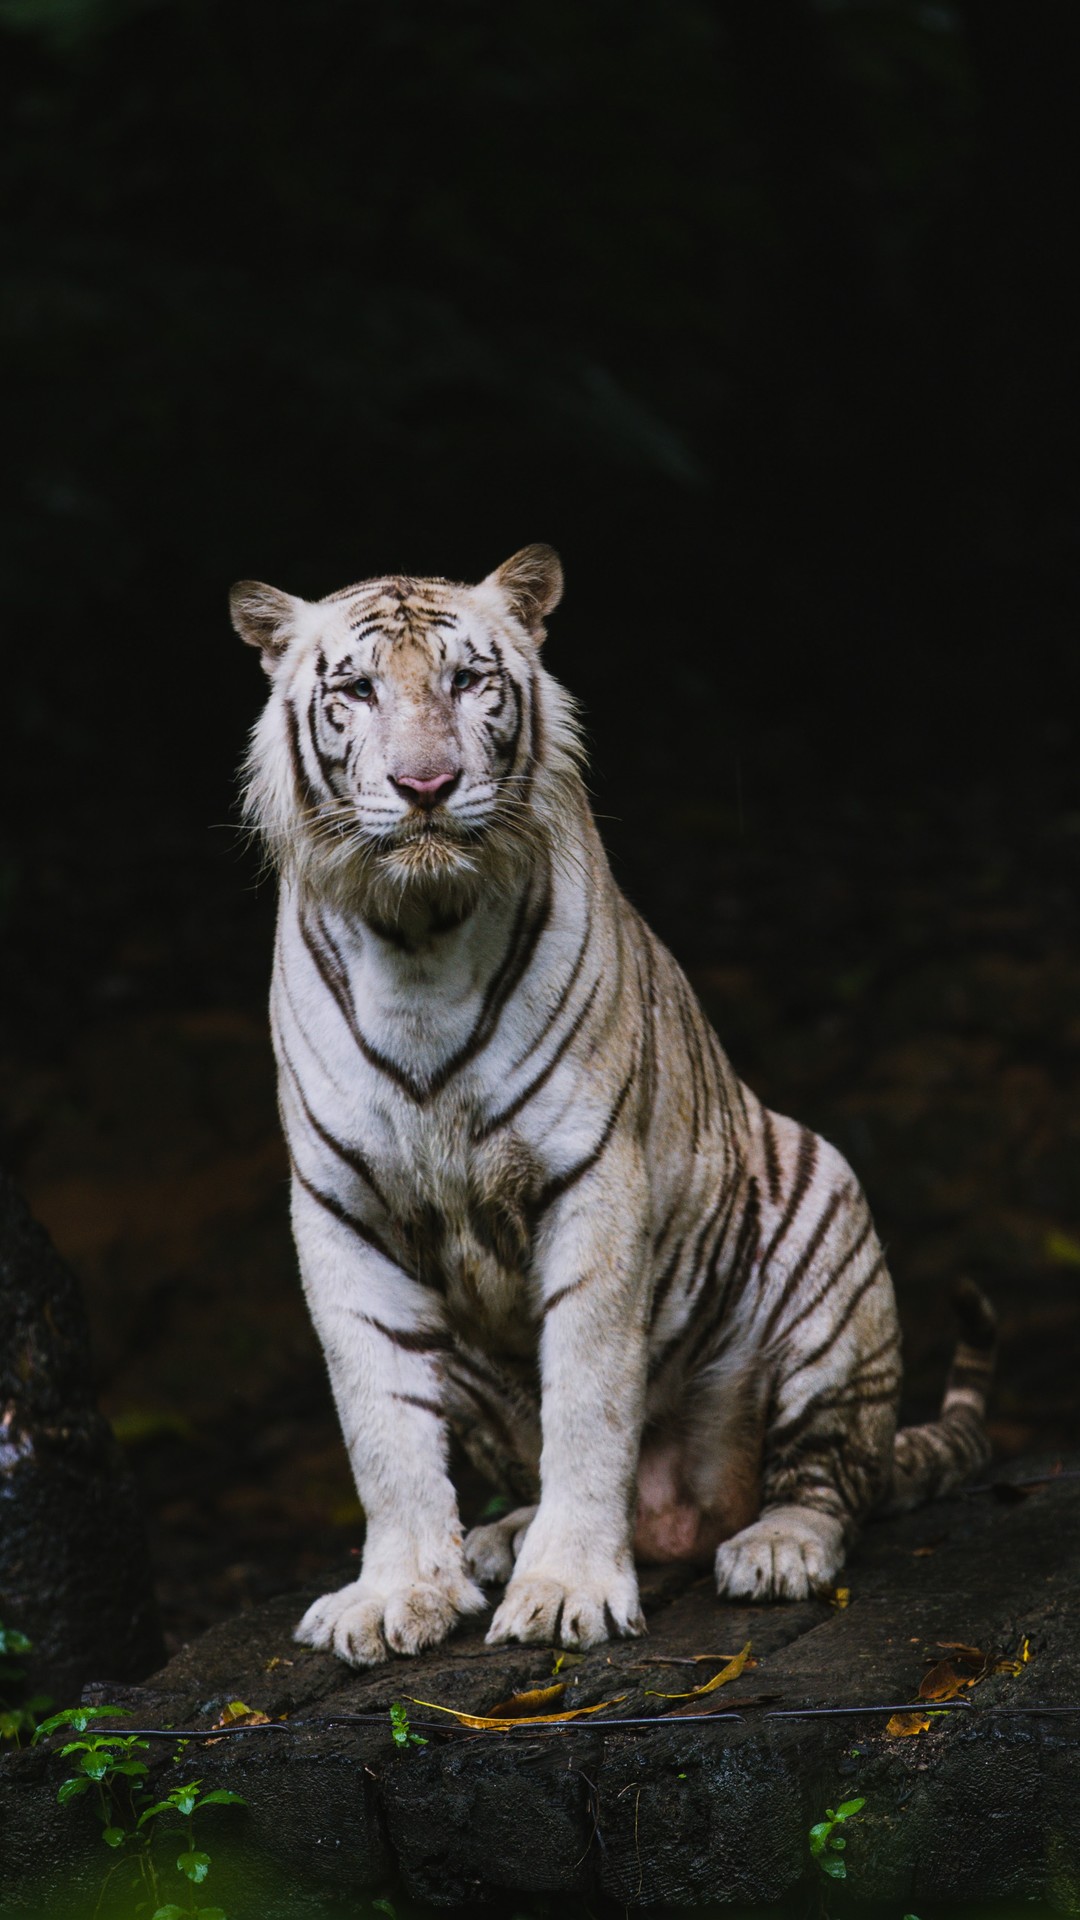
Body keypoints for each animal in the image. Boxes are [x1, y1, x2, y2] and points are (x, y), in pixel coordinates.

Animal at [231, 541, 991, 1666]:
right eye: (357, 691)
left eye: (468, 680)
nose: (425, 785)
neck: (417, 937)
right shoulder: (340, 1212)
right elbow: (381, 1429)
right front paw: (398, 1591)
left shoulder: (591, 1183)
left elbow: (589, 1402)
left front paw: (564, 1592)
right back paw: (494, 1541)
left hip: (829, 1225)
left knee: (830, 1477)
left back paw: (775, 1547)